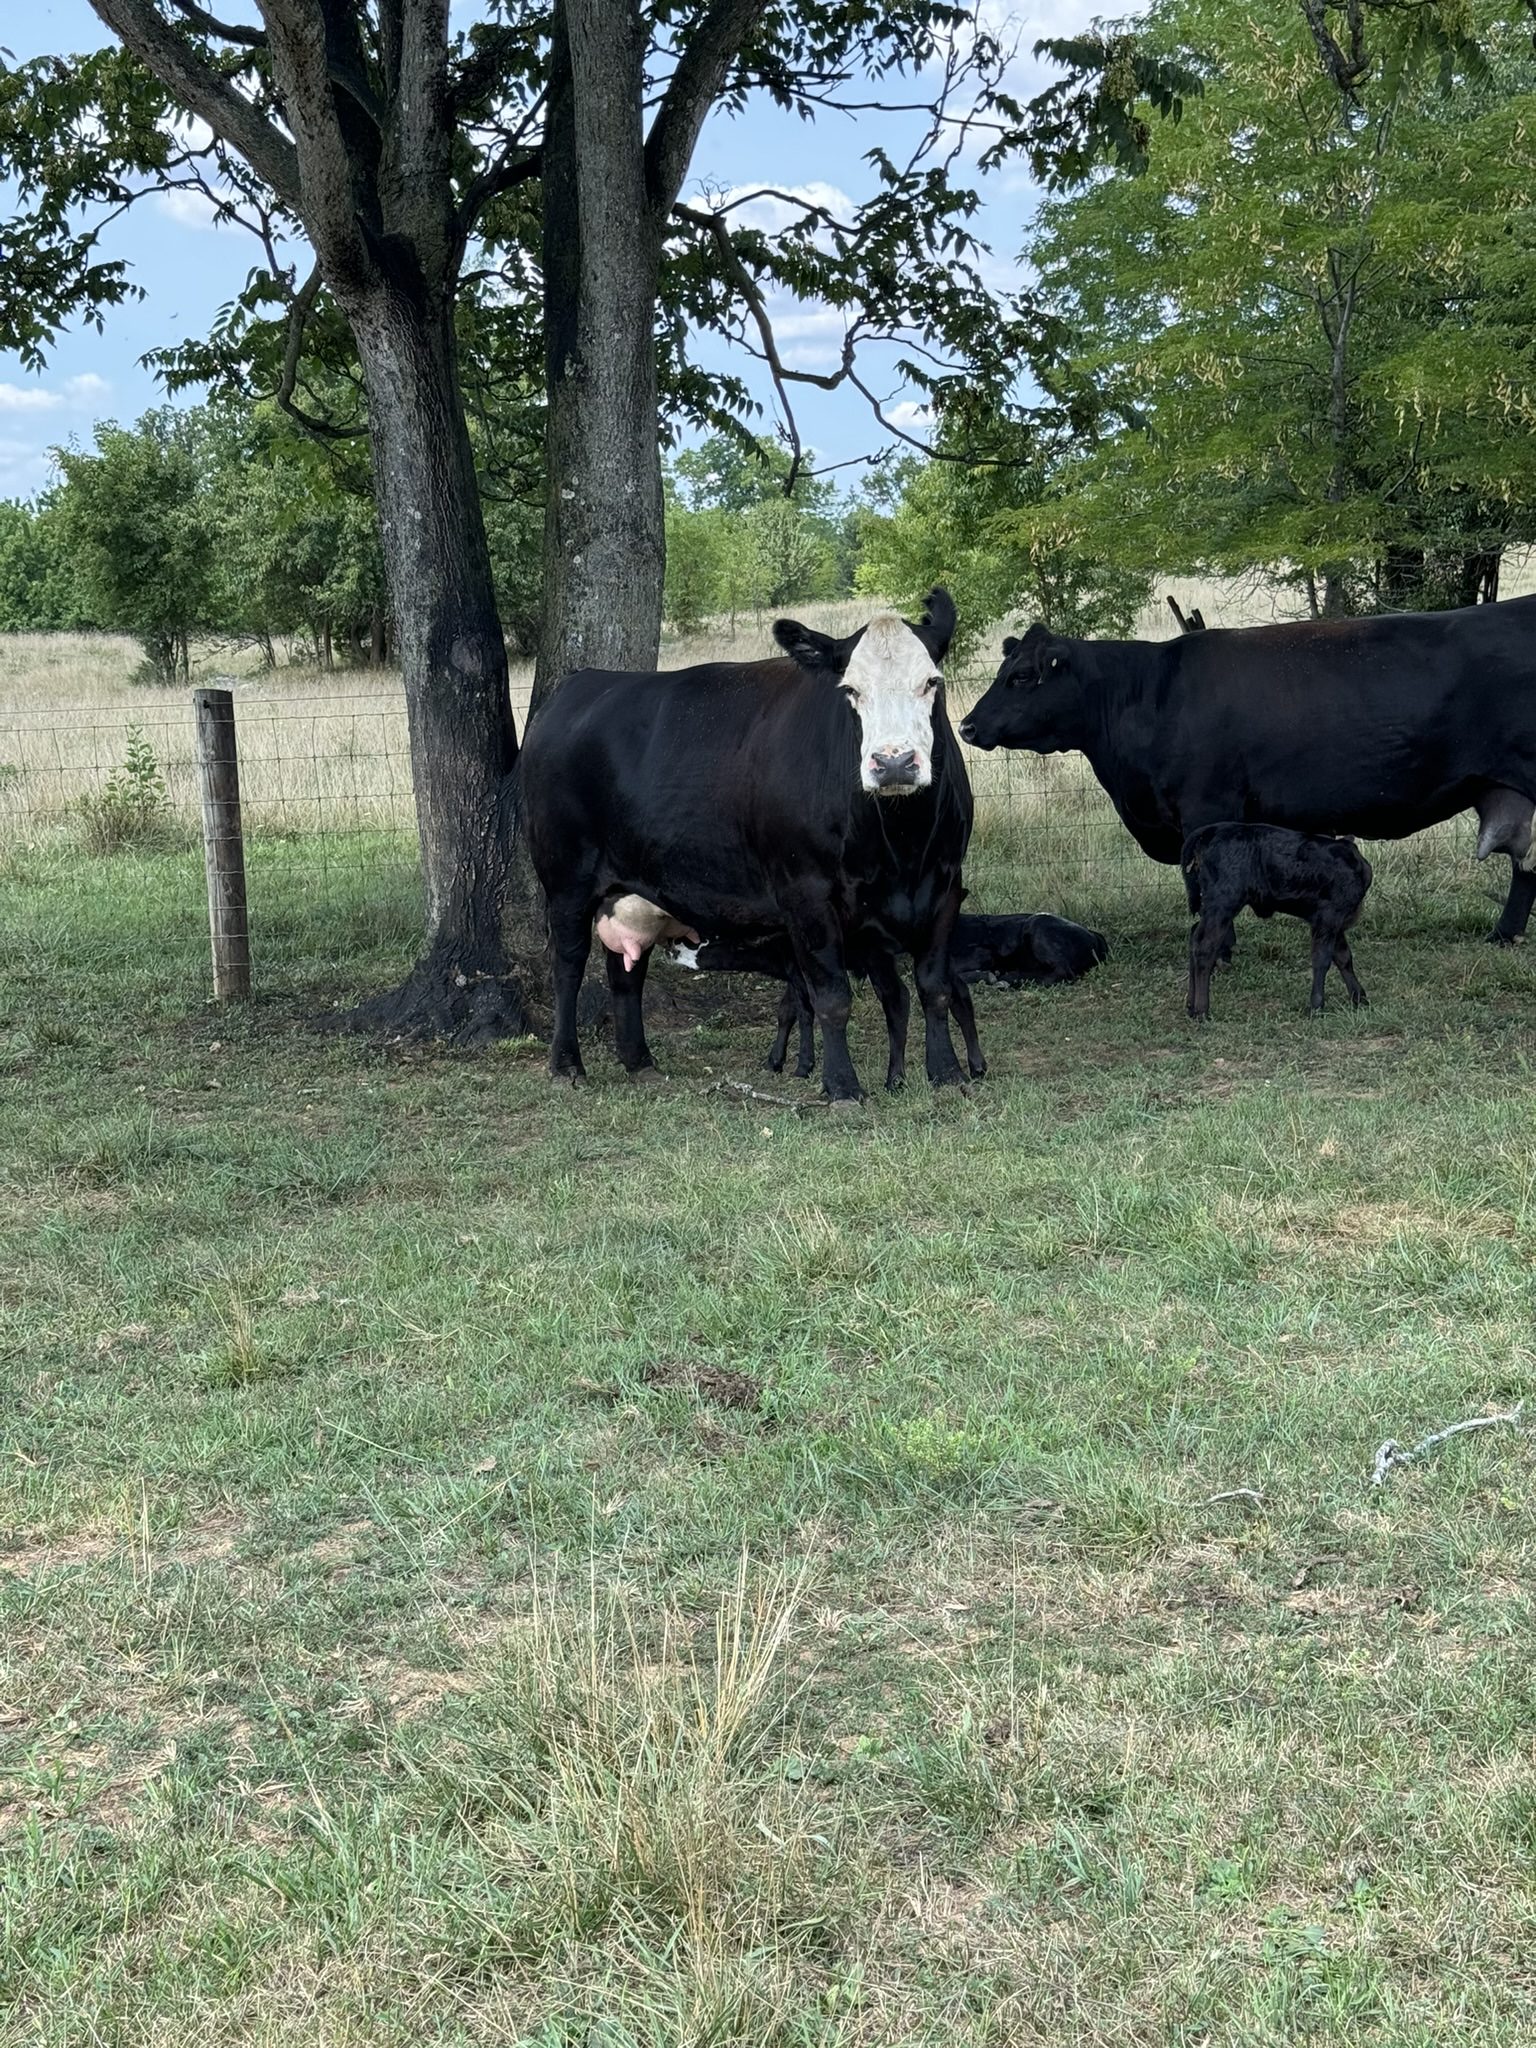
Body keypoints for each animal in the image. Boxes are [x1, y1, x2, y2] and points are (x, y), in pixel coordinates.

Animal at [519, 589, 973, 1101]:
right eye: (851, 691)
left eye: (932, 682)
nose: (893, 762)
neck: (901, 846)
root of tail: (578, 685)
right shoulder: (806, 895)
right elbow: (832, 997)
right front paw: (841, 1086)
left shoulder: (946, 886)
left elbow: (933, 986)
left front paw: (947, 1073)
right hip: (566, 879)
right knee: (568, 966)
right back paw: (566, 1064)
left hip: (632, 888)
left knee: (625, 972)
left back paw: (639, 1061)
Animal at [1181, 824, 1371, 1020]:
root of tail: (1209, 830)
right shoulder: (1327, 919)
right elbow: (1322, 959)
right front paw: (1317, 1005)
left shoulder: (1336, 924)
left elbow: (1344, 957)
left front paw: (1359, 998)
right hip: (1222, 904)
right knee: (1205, 946)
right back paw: (1201, 1011)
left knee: (1194, 936)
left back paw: (1190, 1006)